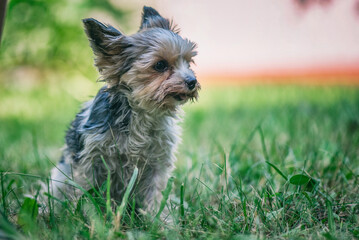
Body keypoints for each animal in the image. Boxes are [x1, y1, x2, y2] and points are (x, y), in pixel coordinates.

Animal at [48, 5, 200, 213]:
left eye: (188, 62)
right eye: (160, 65)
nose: (192, 81)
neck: (143, 112)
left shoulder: (157, 163)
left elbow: (155, 194)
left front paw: (158, 218)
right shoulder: (91, 161)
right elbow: (85, 191)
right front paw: (85, 214)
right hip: (60, 176)